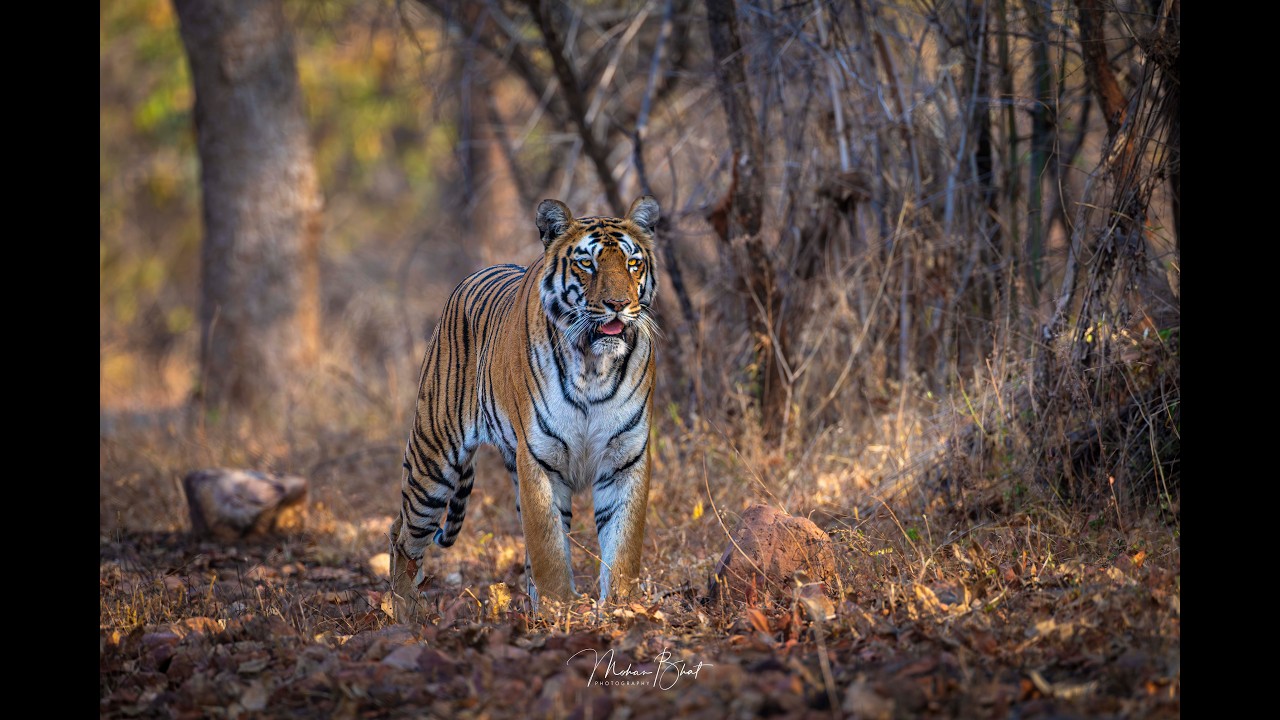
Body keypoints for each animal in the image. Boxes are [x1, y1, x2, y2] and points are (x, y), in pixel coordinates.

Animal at [389, 195, 660, 614]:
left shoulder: (625, 456)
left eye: (633, 263)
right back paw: (405, 612)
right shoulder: (539, 457)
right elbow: (547, 543)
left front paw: (621, 607)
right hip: (431, 462)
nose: (618, 304)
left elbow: (623, 543)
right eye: (587, 263)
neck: (593, 366)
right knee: (402, 535)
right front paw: (558, 607)